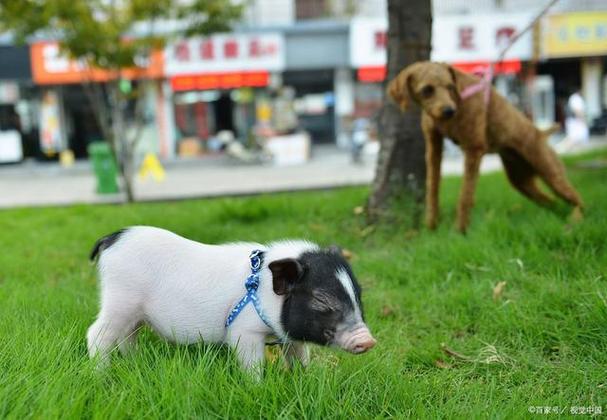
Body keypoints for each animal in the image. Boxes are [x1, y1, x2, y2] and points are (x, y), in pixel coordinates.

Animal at [390, 61, 584, 233]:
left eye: (450, 87)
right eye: (427, 90)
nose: (449, 111)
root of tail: (540, 133)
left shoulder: (474, 148)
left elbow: (465, 196)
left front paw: (460, 230)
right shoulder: (433, 148)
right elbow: (432, 189)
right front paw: (431, 226)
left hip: (551, 173)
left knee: (579, 201)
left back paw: (574, 221)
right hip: (521, 181)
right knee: (551, 201)